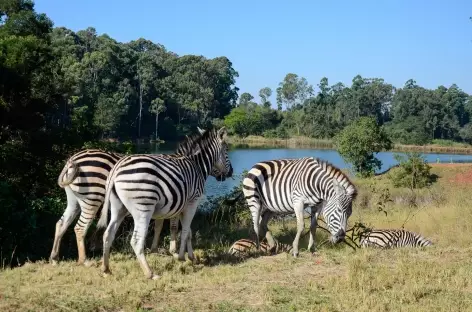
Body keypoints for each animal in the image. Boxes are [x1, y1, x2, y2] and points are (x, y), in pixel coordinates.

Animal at [97, 128, 234, 280]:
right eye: (226, 150)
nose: (231, 172)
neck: (197, 166)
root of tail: (117, 167)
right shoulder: (193, 202)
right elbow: (185, 231)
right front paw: (181, 257)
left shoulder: (182, 206)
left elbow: (188, 231)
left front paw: (191, 257)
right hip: (143, 208)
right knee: (136, 240)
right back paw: (150, 273)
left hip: (118, 208)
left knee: (108, 234)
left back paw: (106, 269)